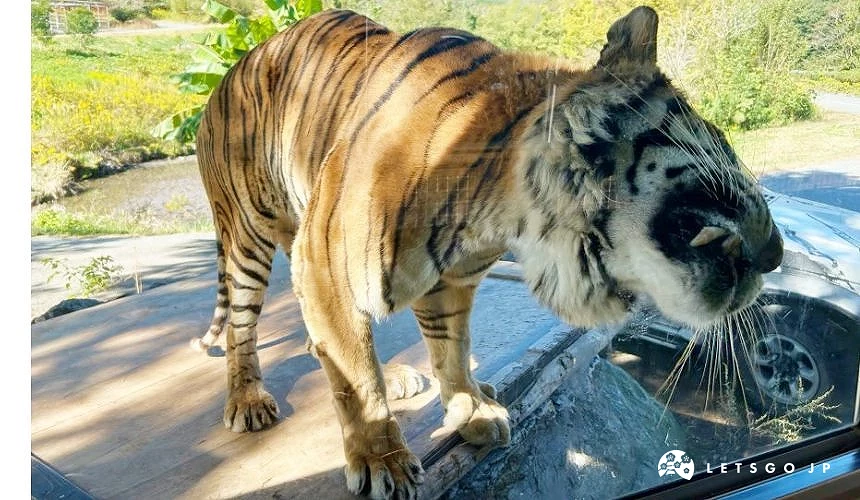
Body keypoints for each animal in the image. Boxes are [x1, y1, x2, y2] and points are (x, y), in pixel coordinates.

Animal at [190, 5, 783, 499]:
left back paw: (402, 376)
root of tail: (229, 75)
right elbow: (357, 381)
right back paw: (248, 400)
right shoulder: (324, 264)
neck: (509, 210)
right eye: (724, 142)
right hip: (247, 238)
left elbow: (450, 348)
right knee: (246, 326)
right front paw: (382, 460)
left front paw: (470, 407)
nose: (777, 254)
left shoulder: (448, 282)